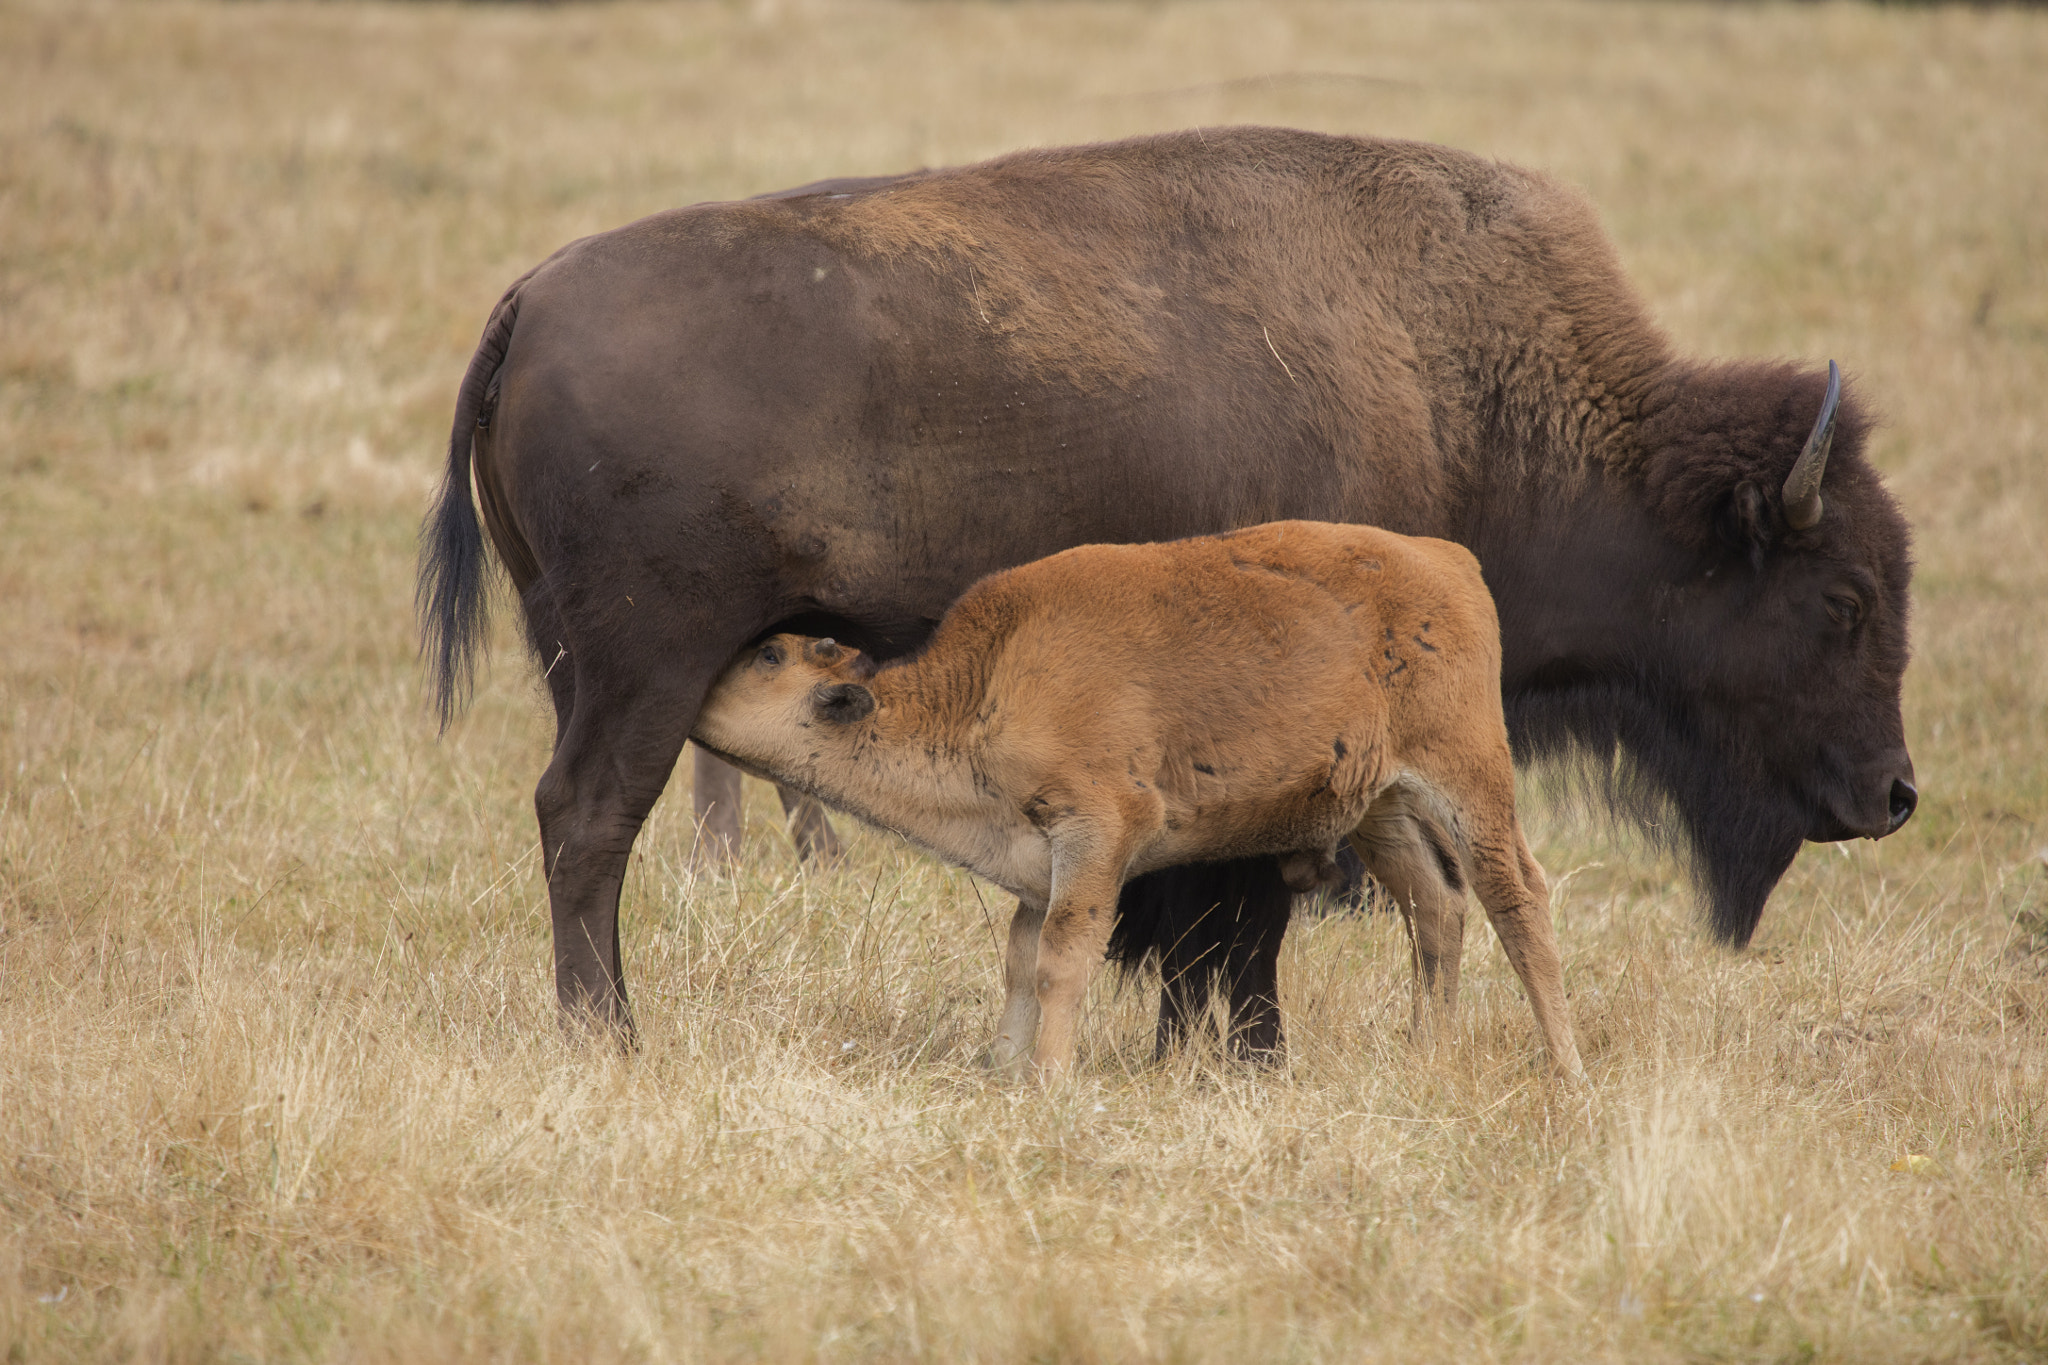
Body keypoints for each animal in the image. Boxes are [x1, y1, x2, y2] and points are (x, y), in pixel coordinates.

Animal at [691, 522, 1586, 1080]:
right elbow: (1020, 960)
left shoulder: (1097, 835)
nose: (695, 696)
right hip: (1381, 806)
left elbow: (1062, 960)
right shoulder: (1037, 863)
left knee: (1517, 898)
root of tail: (1448, 559)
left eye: (768, 655)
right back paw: (1426, 1051)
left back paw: (1565, 1066)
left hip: (1467, 778)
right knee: (1435, 905)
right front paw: (1001, 1066)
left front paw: (1048, 1078)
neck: (991, 681)